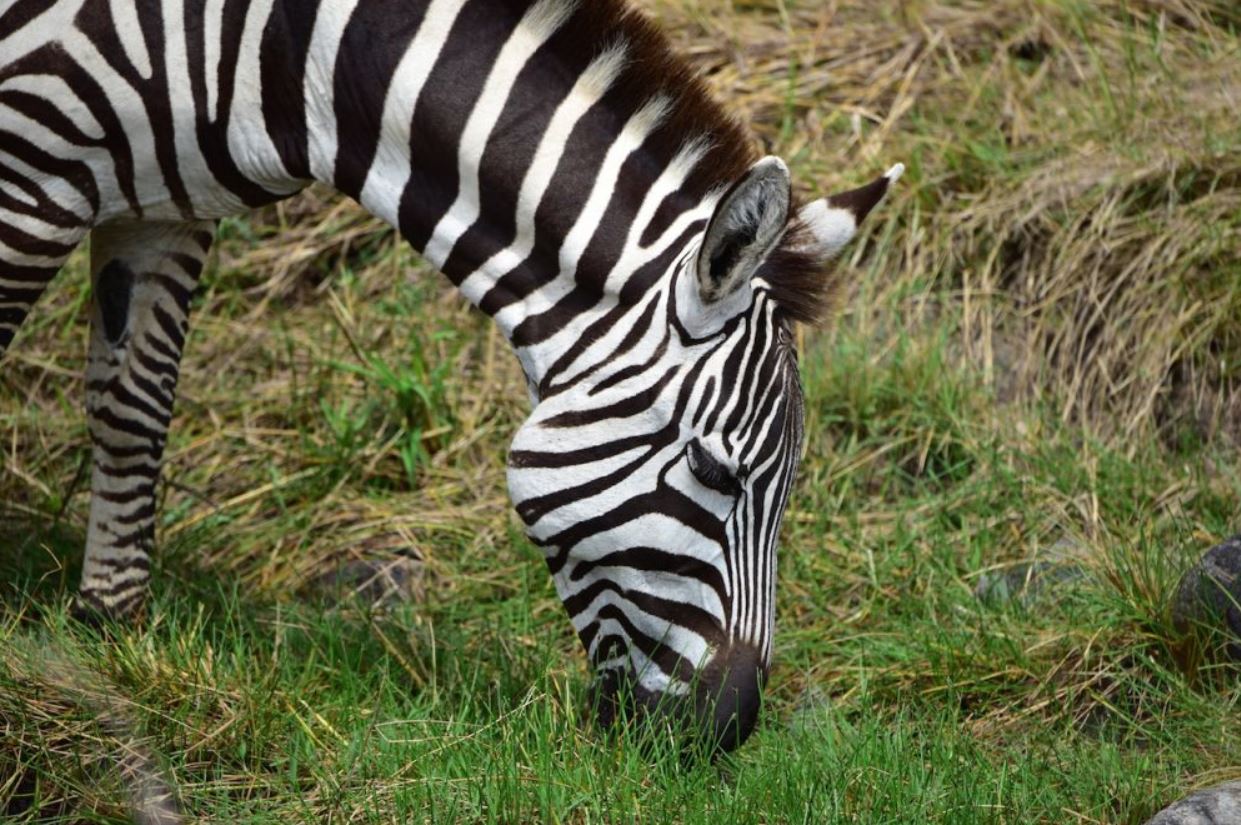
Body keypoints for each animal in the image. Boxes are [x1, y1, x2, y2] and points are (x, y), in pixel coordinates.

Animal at [0, 0, 899, 751]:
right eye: (715, 470)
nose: (728, 733)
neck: (278, 48)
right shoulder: (30, 170)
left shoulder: (166, 206)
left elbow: (134, 405)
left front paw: (107, 630)